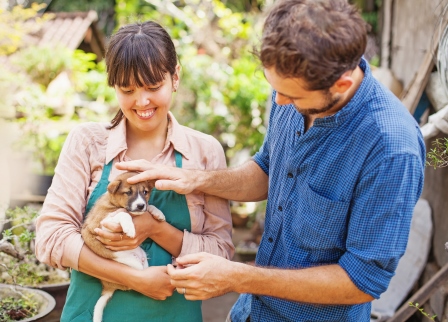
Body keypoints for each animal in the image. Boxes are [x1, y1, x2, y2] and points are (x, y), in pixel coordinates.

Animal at [80, 172, 164, 322]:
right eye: (128, 192)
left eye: (145, 192)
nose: (140, 205)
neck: (112, 202)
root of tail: (109, 287)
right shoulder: (101, 224)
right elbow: (123, 213)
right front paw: (129, 227)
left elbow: (149, 207)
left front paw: (157, 213)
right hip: (134, 266)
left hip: (143, 259)